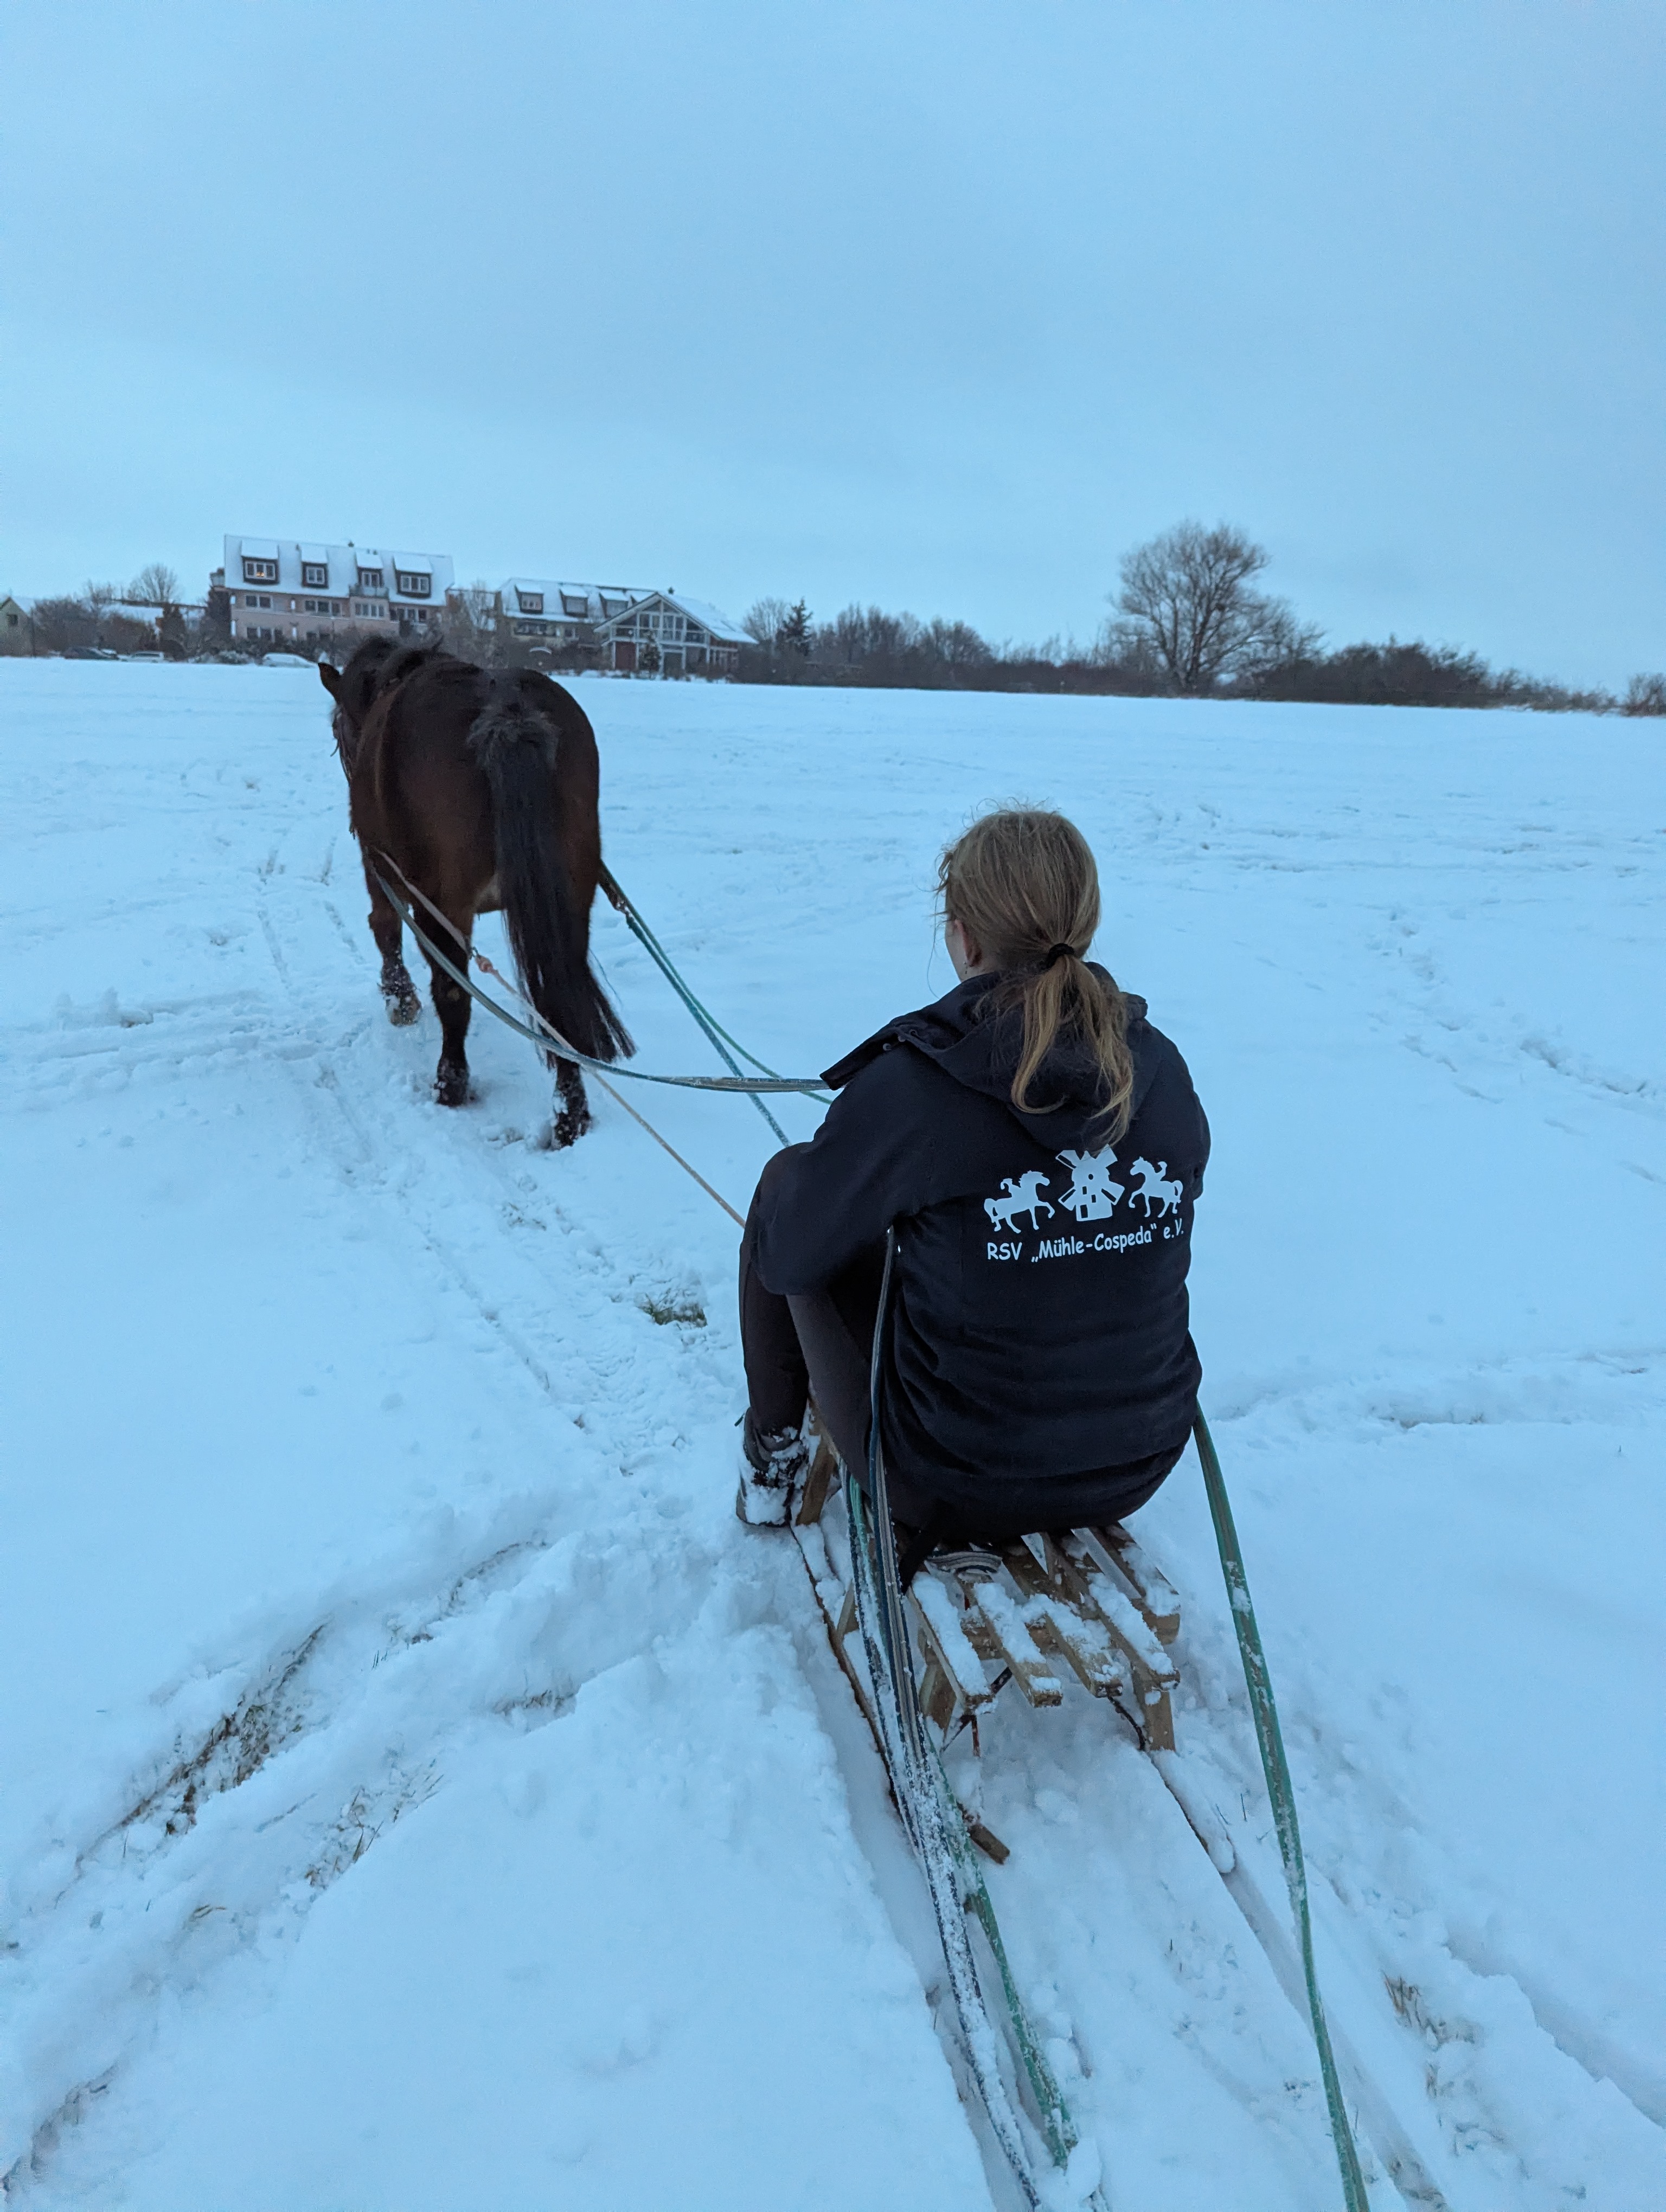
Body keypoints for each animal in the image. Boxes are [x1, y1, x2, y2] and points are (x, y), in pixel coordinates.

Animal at [318, 640, 631, 1145]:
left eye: (338, 726)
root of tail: (506, 709)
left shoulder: (381, 869)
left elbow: (384, 929)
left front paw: (400, 1001)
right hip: (570, 900)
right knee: (559, 1003)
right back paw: (571, 1113)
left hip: (443, 902)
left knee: (452, 992)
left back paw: (451, 1085)